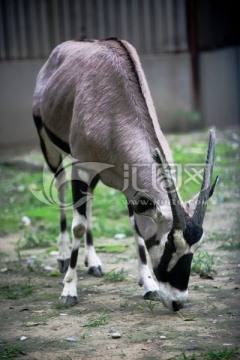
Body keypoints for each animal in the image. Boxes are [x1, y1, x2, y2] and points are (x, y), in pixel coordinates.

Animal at [31, 38, 218, 310]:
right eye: (169, 244)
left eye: (196, 245)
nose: (178, 302)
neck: (114, 114)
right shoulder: (82, 168)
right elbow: (78, 226)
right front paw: (68, 290)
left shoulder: (130, 185)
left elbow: (135, 226)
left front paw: (149, 285)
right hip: (51, 148)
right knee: (62, 189)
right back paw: (64, 256)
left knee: (88, 204)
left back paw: (93, 262)